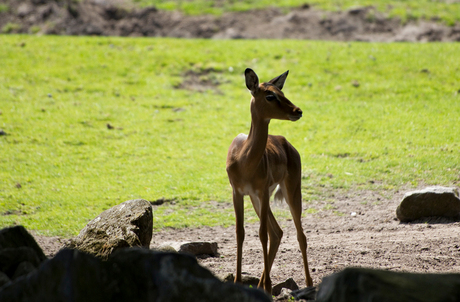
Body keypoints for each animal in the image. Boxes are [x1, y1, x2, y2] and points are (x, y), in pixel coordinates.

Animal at [226, 68, 312, 292]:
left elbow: (261, 233)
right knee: (278, 232)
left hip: (291, 191)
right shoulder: (238, 192)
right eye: (270, 95)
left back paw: (308, 284)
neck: (244, 160)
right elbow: (240, 233)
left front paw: (267, 286)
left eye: (281, 92)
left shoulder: (262, 191)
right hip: (257, 200)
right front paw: (238, 281)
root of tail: (285, 142)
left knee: (299, 235)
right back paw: (260, 285)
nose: (298, 110)